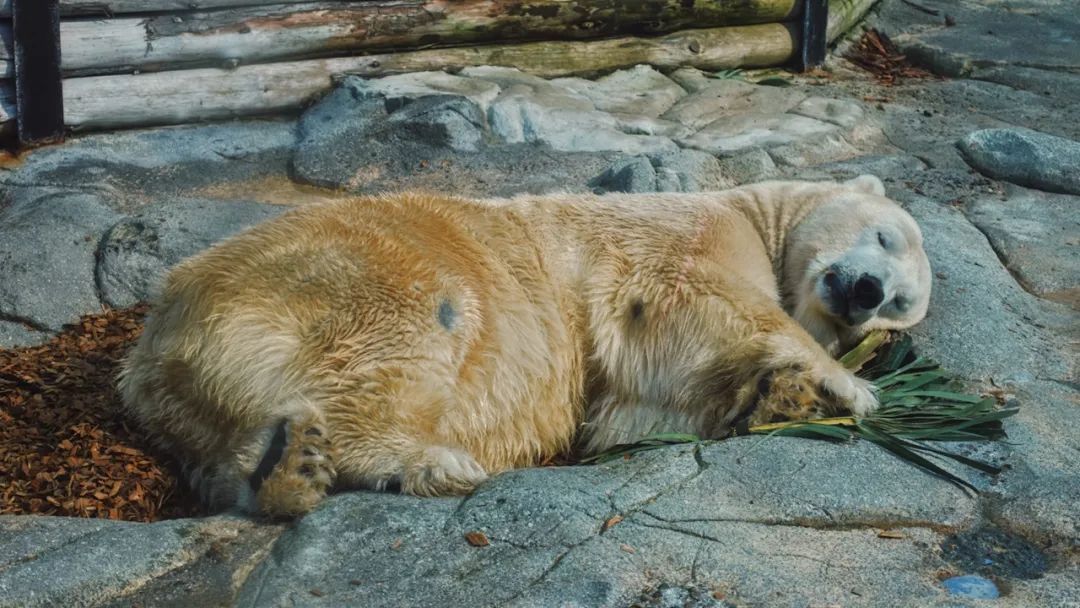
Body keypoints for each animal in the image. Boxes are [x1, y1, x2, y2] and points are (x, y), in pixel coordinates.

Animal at [116, 176, 928, 518]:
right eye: (885, 235)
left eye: (901, 307)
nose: (866, 291)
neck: (756, 210)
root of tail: (152, 349)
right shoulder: (690, 232)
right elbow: (693, 296)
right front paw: (847, 386)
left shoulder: (629, 382)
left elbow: (640, 406)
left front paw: (783, 394)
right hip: (359, 271)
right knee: (415, 329)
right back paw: (420, 462)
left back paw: (284, 470)